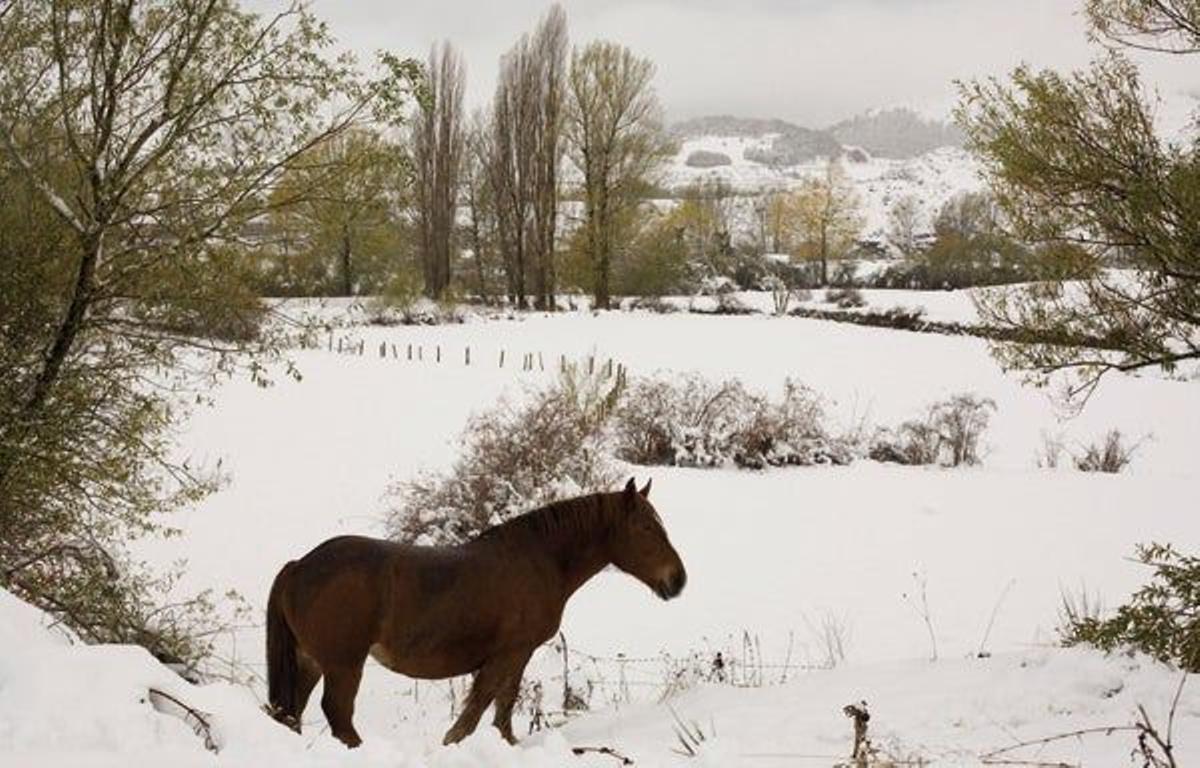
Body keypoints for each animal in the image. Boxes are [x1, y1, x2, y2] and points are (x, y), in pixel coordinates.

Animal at [265, 477, 686, 748]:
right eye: (646, 528)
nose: (678, 579)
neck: (540, 560)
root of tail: (299, 566)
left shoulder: (515, 657)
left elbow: (501, 710)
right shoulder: (510, 653)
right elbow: (480, 710)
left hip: (309, 661)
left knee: (291, 714)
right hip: (344, 664)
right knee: (337, 714)